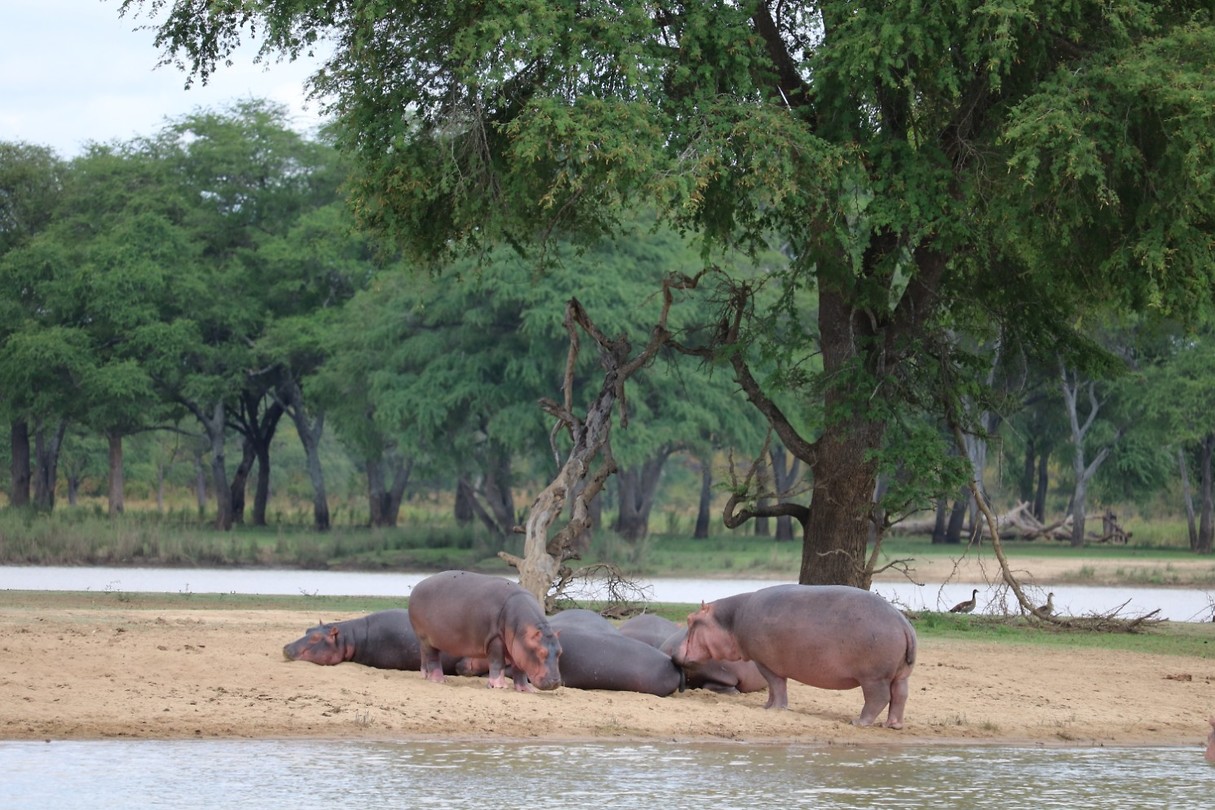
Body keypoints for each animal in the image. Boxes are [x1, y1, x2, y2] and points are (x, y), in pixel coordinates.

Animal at [408, 570, 562, 692]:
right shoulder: (495, 639)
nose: (555, 682)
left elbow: (519, 669)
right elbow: (497, 662)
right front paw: (498, 686)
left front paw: (525, 689)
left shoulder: (517, 647)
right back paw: (438, 680)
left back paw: (425, 676)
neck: (522, 629)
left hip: (424, 639)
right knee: (433, 658)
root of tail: (417, 587)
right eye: (541, 652)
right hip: (426, 638)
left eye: (560, 652)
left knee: (424, 655)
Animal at [679, 584, 917, 728]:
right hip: (900, 674)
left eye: (690, 619)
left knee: (879, 698)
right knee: (900, 696)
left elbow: (776, 685)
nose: (675, 651)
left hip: (873, 678)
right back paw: (893, 725)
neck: (731, 619)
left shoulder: (765, 663)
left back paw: (858, 722)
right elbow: (774, 688)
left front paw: (775, 709)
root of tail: (904, 624)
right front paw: (766, 707)